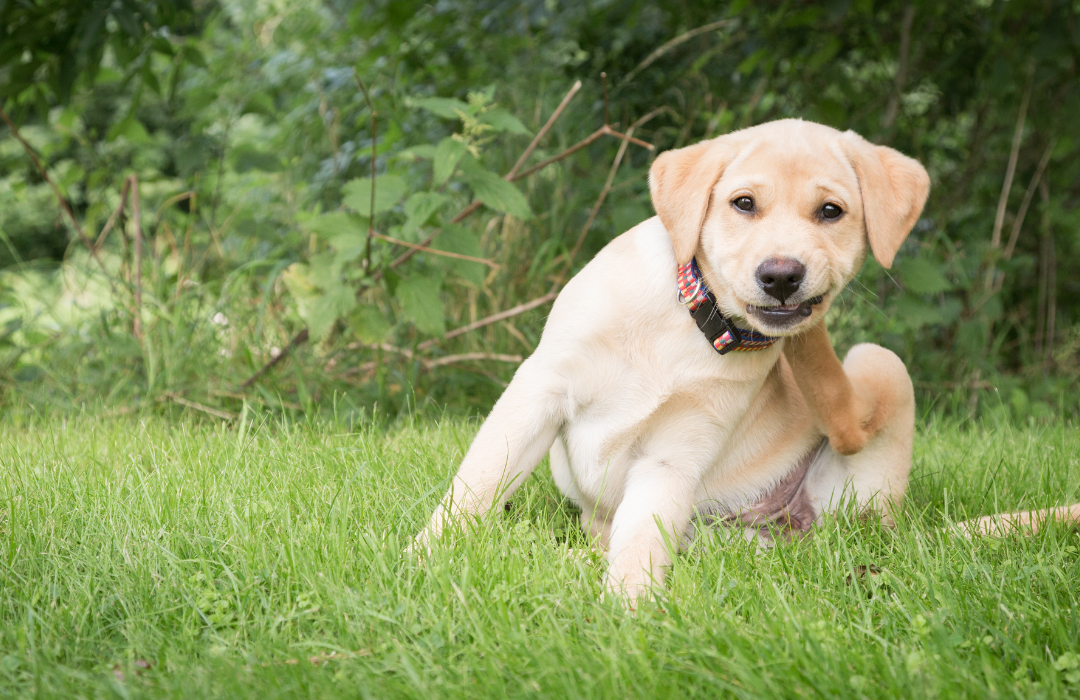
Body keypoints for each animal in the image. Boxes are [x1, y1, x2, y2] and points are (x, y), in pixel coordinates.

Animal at [412, 117, 928, 600]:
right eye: (744, 203)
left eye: (830, 211)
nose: (781, 276)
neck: (694, 322)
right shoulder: (540, 388)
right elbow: (477, 482)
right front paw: (425, 556)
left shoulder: (674, 455)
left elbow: (642, 538)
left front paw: (627, 607)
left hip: (874, 380)